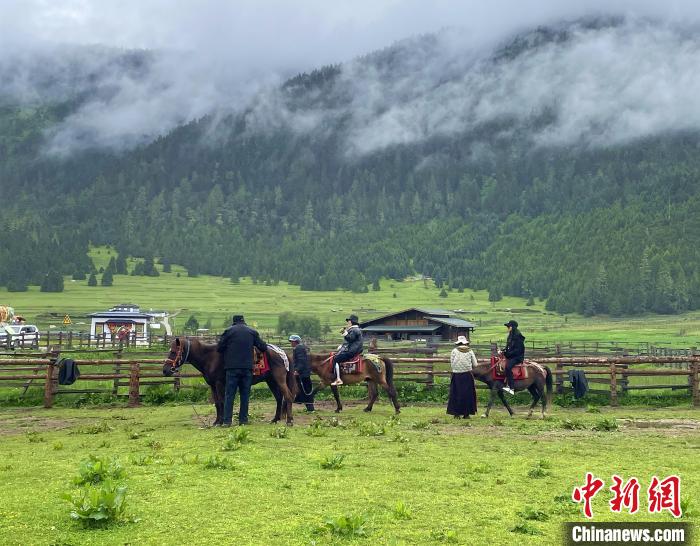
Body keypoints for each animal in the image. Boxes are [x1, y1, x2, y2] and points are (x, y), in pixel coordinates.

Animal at [162, 337, 297, 426]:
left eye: (173, 352)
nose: (165, 370)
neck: (210, 357)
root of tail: (283, 353)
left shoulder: (220, 384)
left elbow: (222, 402)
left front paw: (222, 422)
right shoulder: (212, 385)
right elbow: (217, 403)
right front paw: (216, 421)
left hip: (279, 380)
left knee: (288, 396)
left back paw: (289, 421)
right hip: (271, 381)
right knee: (279, 398)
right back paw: (275, 419)